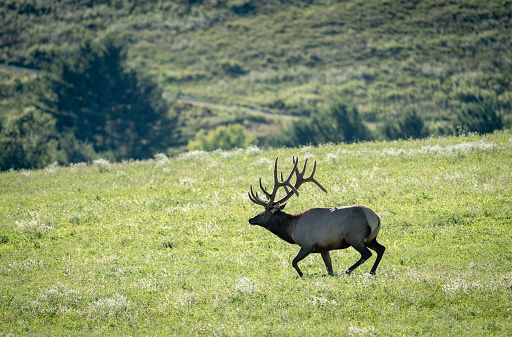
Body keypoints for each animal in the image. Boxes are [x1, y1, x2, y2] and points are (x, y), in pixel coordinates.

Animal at [247, 156, 384, 276]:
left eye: (263, 213)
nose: (250, 219)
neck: (291, 228)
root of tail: (376, 217)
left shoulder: (307, 245)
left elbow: (294, 261)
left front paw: (302, 274)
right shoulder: (324, 248)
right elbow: (329, 269)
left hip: (355, 236)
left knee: (367, 254)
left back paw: (349, 270)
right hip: (371, 238)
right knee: (381, 249)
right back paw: (372, 271)